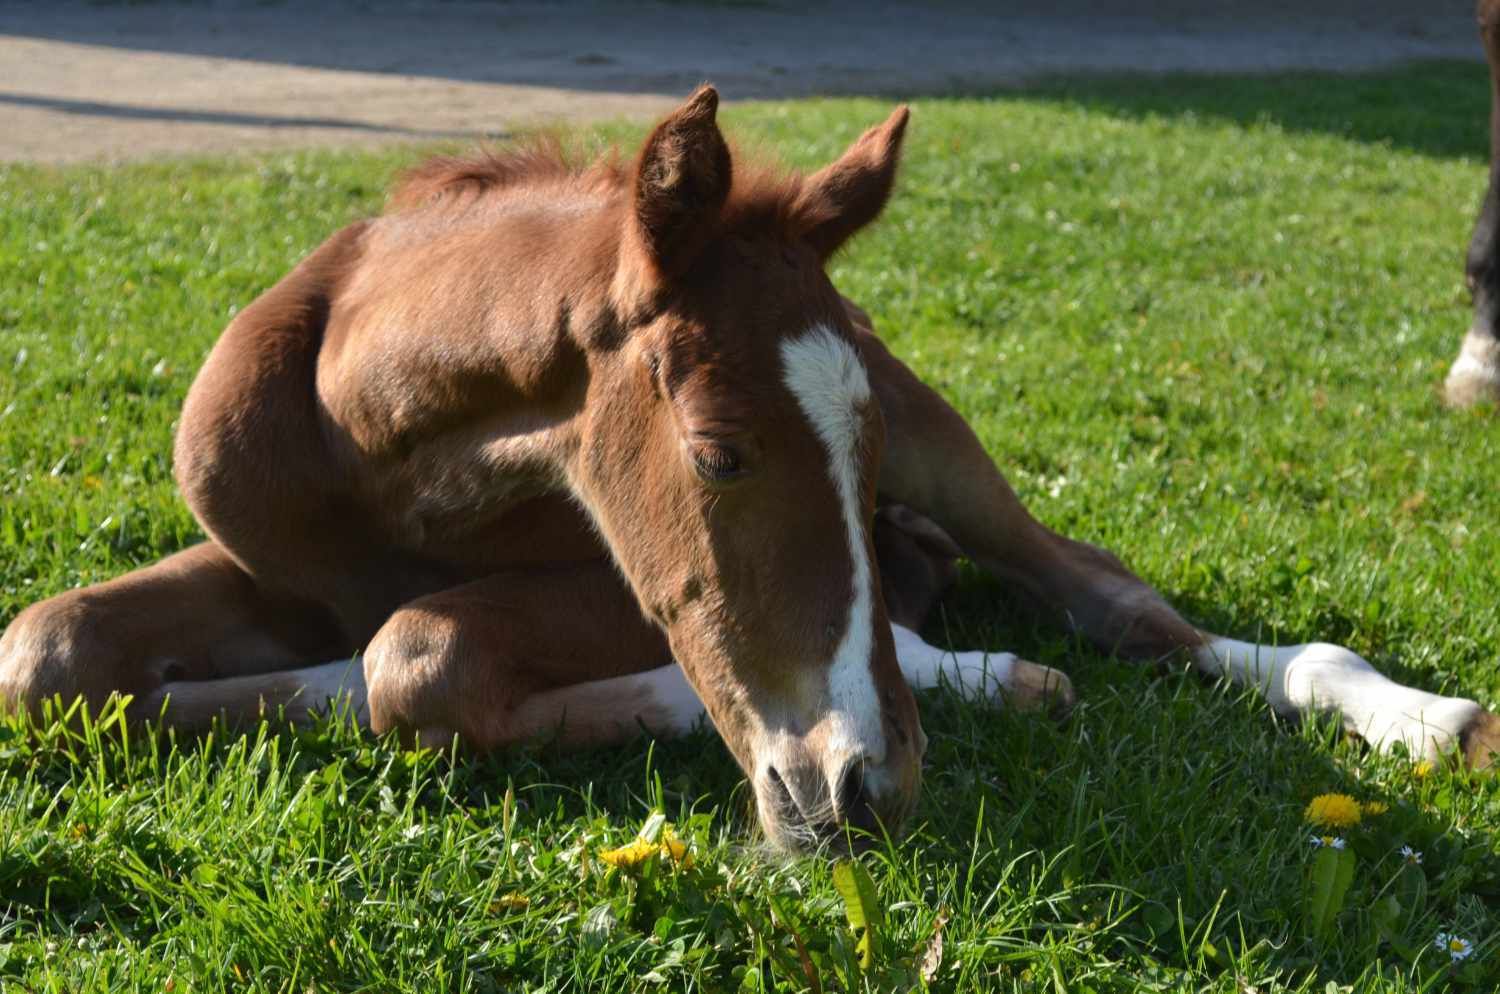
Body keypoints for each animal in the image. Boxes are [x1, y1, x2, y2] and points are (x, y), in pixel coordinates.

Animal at [0, 87, 1494, 857]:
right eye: (718, 453)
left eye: (858, 448)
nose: (870, 789)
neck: (367, 432)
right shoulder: (268, 563)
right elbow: (47, 648)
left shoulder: (612, 575)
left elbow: (412, 652)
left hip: (955, 455)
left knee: (1114, 602)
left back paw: (1413, 716)